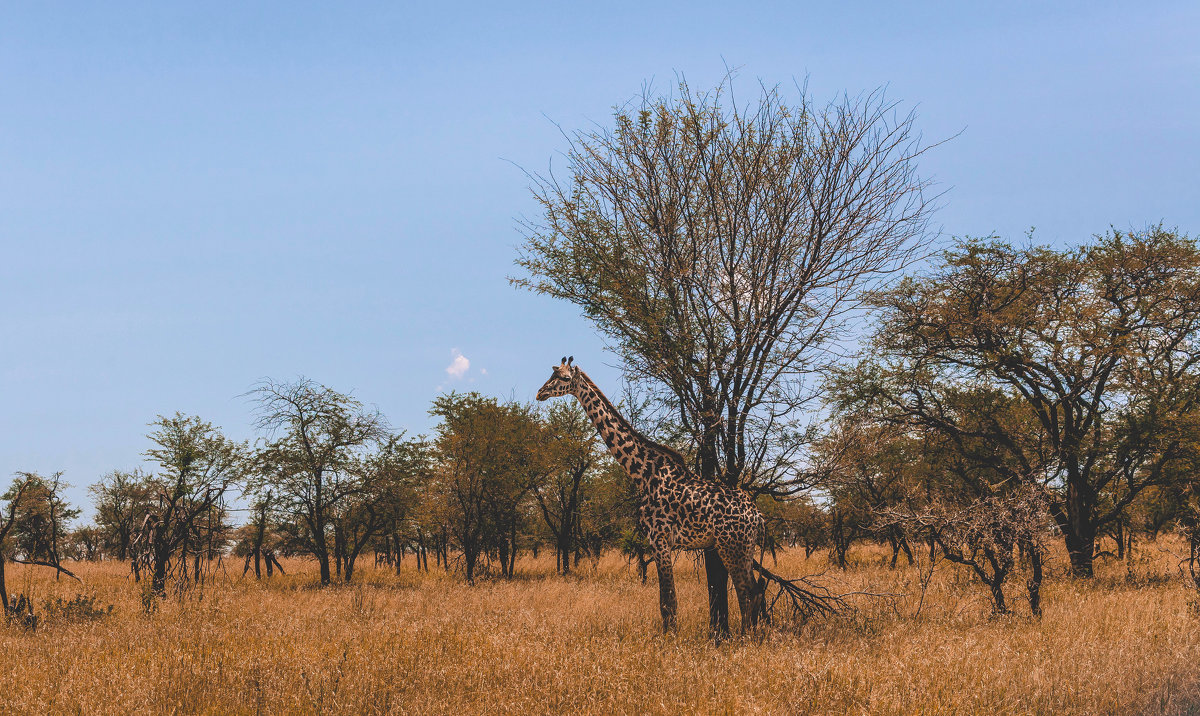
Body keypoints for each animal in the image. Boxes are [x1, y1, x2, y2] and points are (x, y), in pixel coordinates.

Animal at [537, 355, 763, 633]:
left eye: (565, 378)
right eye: (552, 374)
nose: (540, 393)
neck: (642, 473)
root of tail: (757, 515)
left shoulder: (660, 539)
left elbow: (668, 601)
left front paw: (670, 639)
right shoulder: (658, 542)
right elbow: (666, 601)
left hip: (731, 546)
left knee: (746, 592)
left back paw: (744, 638)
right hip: (744, 548)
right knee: (754, 591)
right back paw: (750, 635)